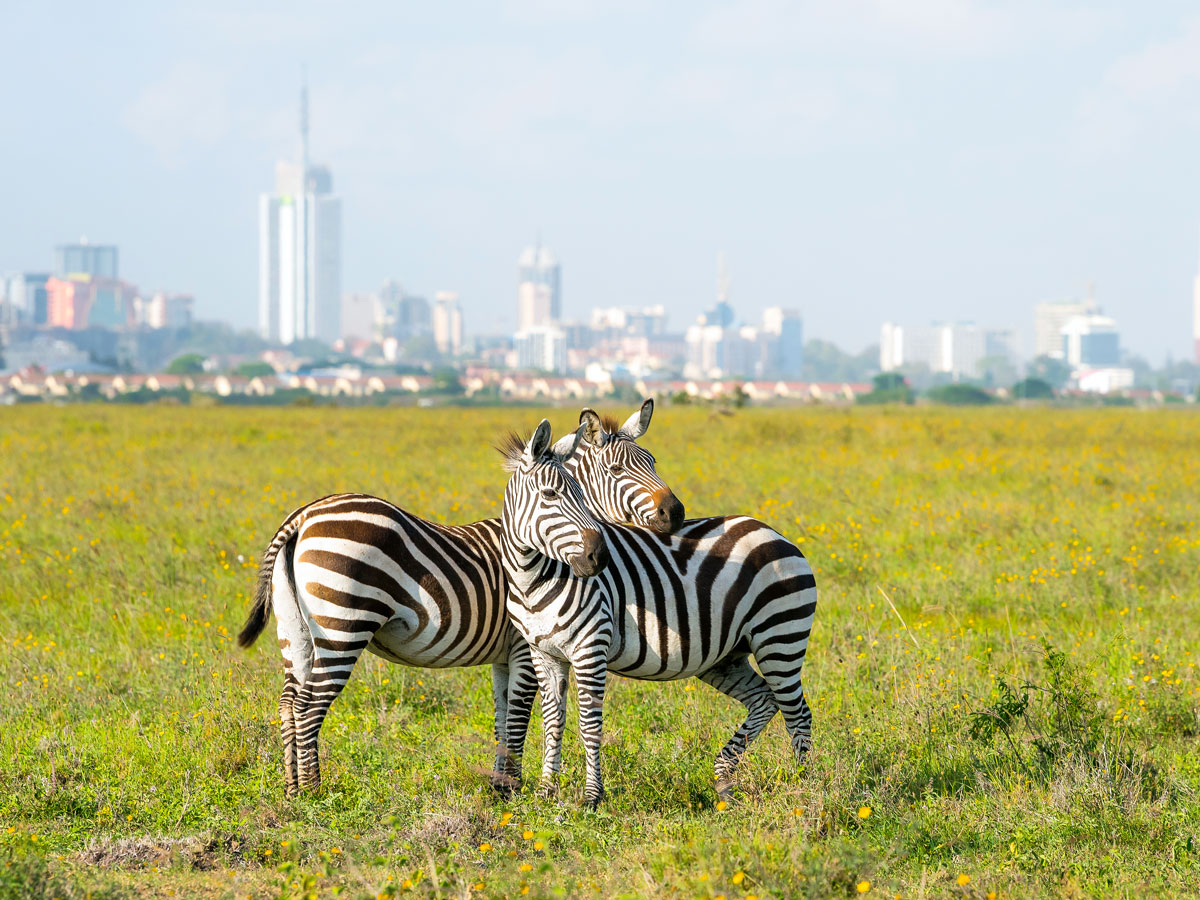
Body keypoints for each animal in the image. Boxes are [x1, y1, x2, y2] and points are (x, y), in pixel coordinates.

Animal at [235, 406, 680, 797]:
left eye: (653, 461)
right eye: (618, 470)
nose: (675, 513)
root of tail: (303, 516)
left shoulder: (504, 655)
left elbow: (502, 717)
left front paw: (500, 786)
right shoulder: (524, 647)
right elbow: (519, 716)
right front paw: (512, 789)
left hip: (296, 631)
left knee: (288, 703)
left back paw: (292, 789)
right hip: (343, 626)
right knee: (309, 706)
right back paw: (314, 792)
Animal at [499, 446, 818, 808]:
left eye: (580, 494)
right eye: (550, 494)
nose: (600, 558)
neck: (533, 580)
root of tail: (773, 532)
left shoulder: (590, 648)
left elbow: (589, 725)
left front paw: (592, 797)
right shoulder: (544, 654)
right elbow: (552, 723)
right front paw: (545, 793)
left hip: (780, 636)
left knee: (798, 713)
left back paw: (804, 788)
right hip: (725, 657)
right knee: (764, 700)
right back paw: (724, 779)